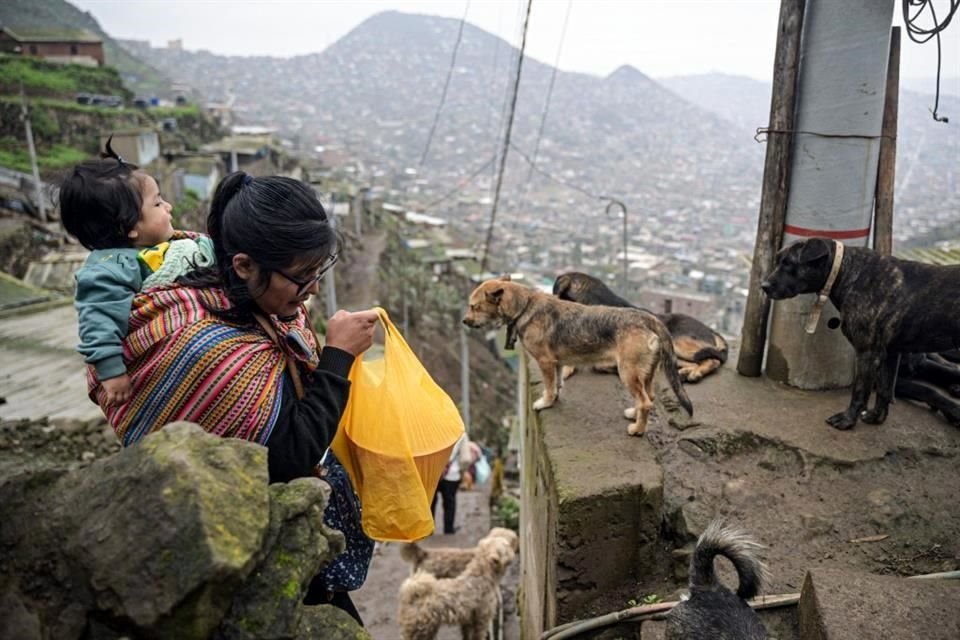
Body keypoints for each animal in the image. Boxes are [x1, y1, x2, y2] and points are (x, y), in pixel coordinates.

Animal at [464, 276, 688, 436]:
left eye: (475, 306)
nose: (464, 321)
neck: (525, 305)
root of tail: (649, 319)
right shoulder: (556, 362)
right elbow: (556, 382)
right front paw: (554, 396)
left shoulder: (545, 361)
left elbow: (549, 386)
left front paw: (545, 402)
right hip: (645, 373)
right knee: (648, 397)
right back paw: (634, 414)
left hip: (628, 372)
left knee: (645, 402)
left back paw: (637, 430)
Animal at [556, 272, 728, 382]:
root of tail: (711, 330)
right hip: (673, 354)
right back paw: (687, 372)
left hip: (679, 342)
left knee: (714, 360)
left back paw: (696, 374)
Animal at [760, 239, 956, 430]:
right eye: (778, 261)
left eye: (789, 263)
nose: (764, 286)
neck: (846, 271)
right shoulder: (890, 354)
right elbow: (885, 389)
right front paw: (877, 417)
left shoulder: (867, 353)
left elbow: (860, 392)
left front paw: (847, 419)